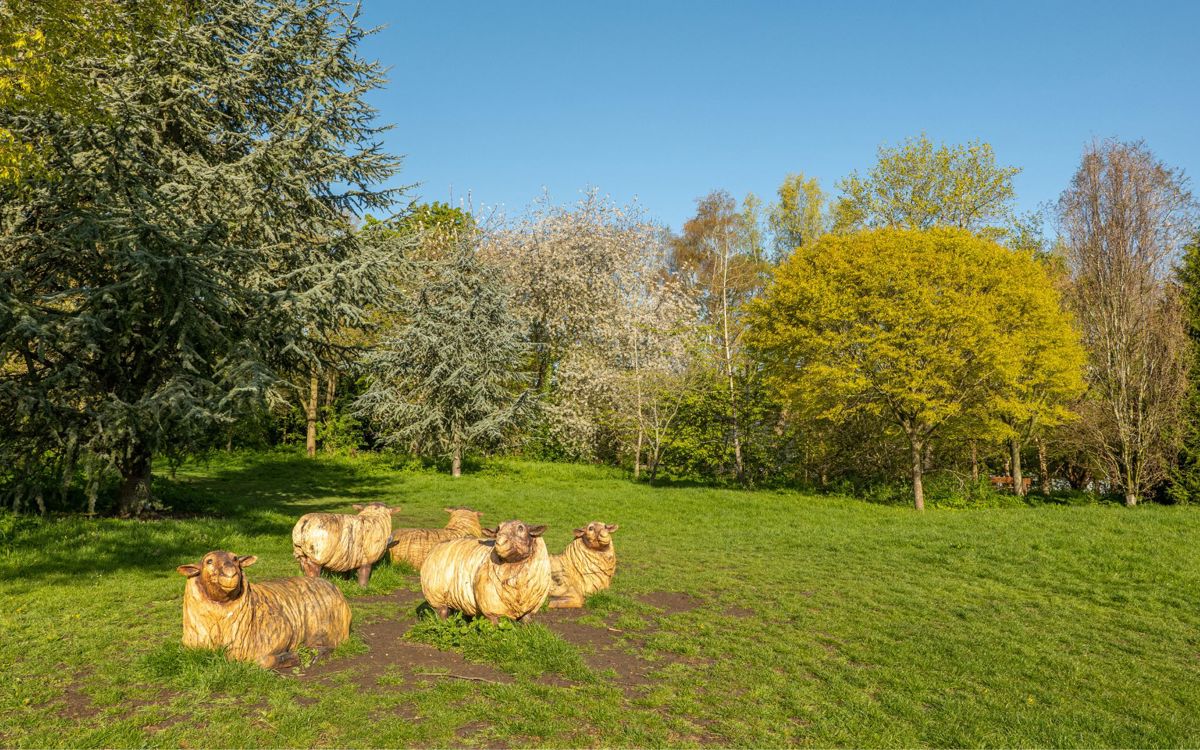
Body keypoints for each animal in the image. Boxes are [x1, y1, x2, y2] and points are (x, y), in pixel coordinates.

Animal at [176, 550, 351, 669]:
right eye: (209, 561)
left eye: (235, 558)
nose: (230, 571)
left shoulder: (280, 632)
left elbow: (262, 661)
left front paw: (291, 657)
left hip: (323, 629)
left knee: (329, 645)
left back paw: (313, 654)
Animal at [420, 519, 551, 624]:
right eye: (498, 528)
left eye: (521, 528)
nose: (500, 542)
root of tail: (436, 547)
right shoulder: (491, 608)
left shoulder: (531, 608)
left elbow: (526, 624)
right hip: (436, 597)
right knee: (443, 613)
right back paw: (444, 625)